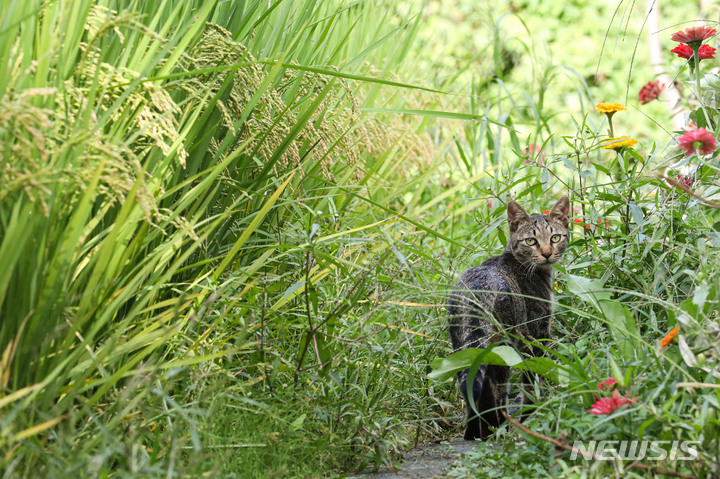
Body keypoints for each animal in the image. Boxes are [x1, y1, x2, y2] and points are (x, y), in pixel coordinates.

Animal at [448, 197, 572, 440]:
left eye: (555, 237)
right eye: (531, 241)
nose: (546, 253)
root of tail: (480, 282)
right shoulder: (537, 335)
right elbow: (534, 381)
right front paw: (534, 415)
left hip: (462, 344)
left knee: (473, 386)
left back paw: (475, 431)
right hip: (503, 345)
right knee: (495, 389)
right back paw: (496, 428)